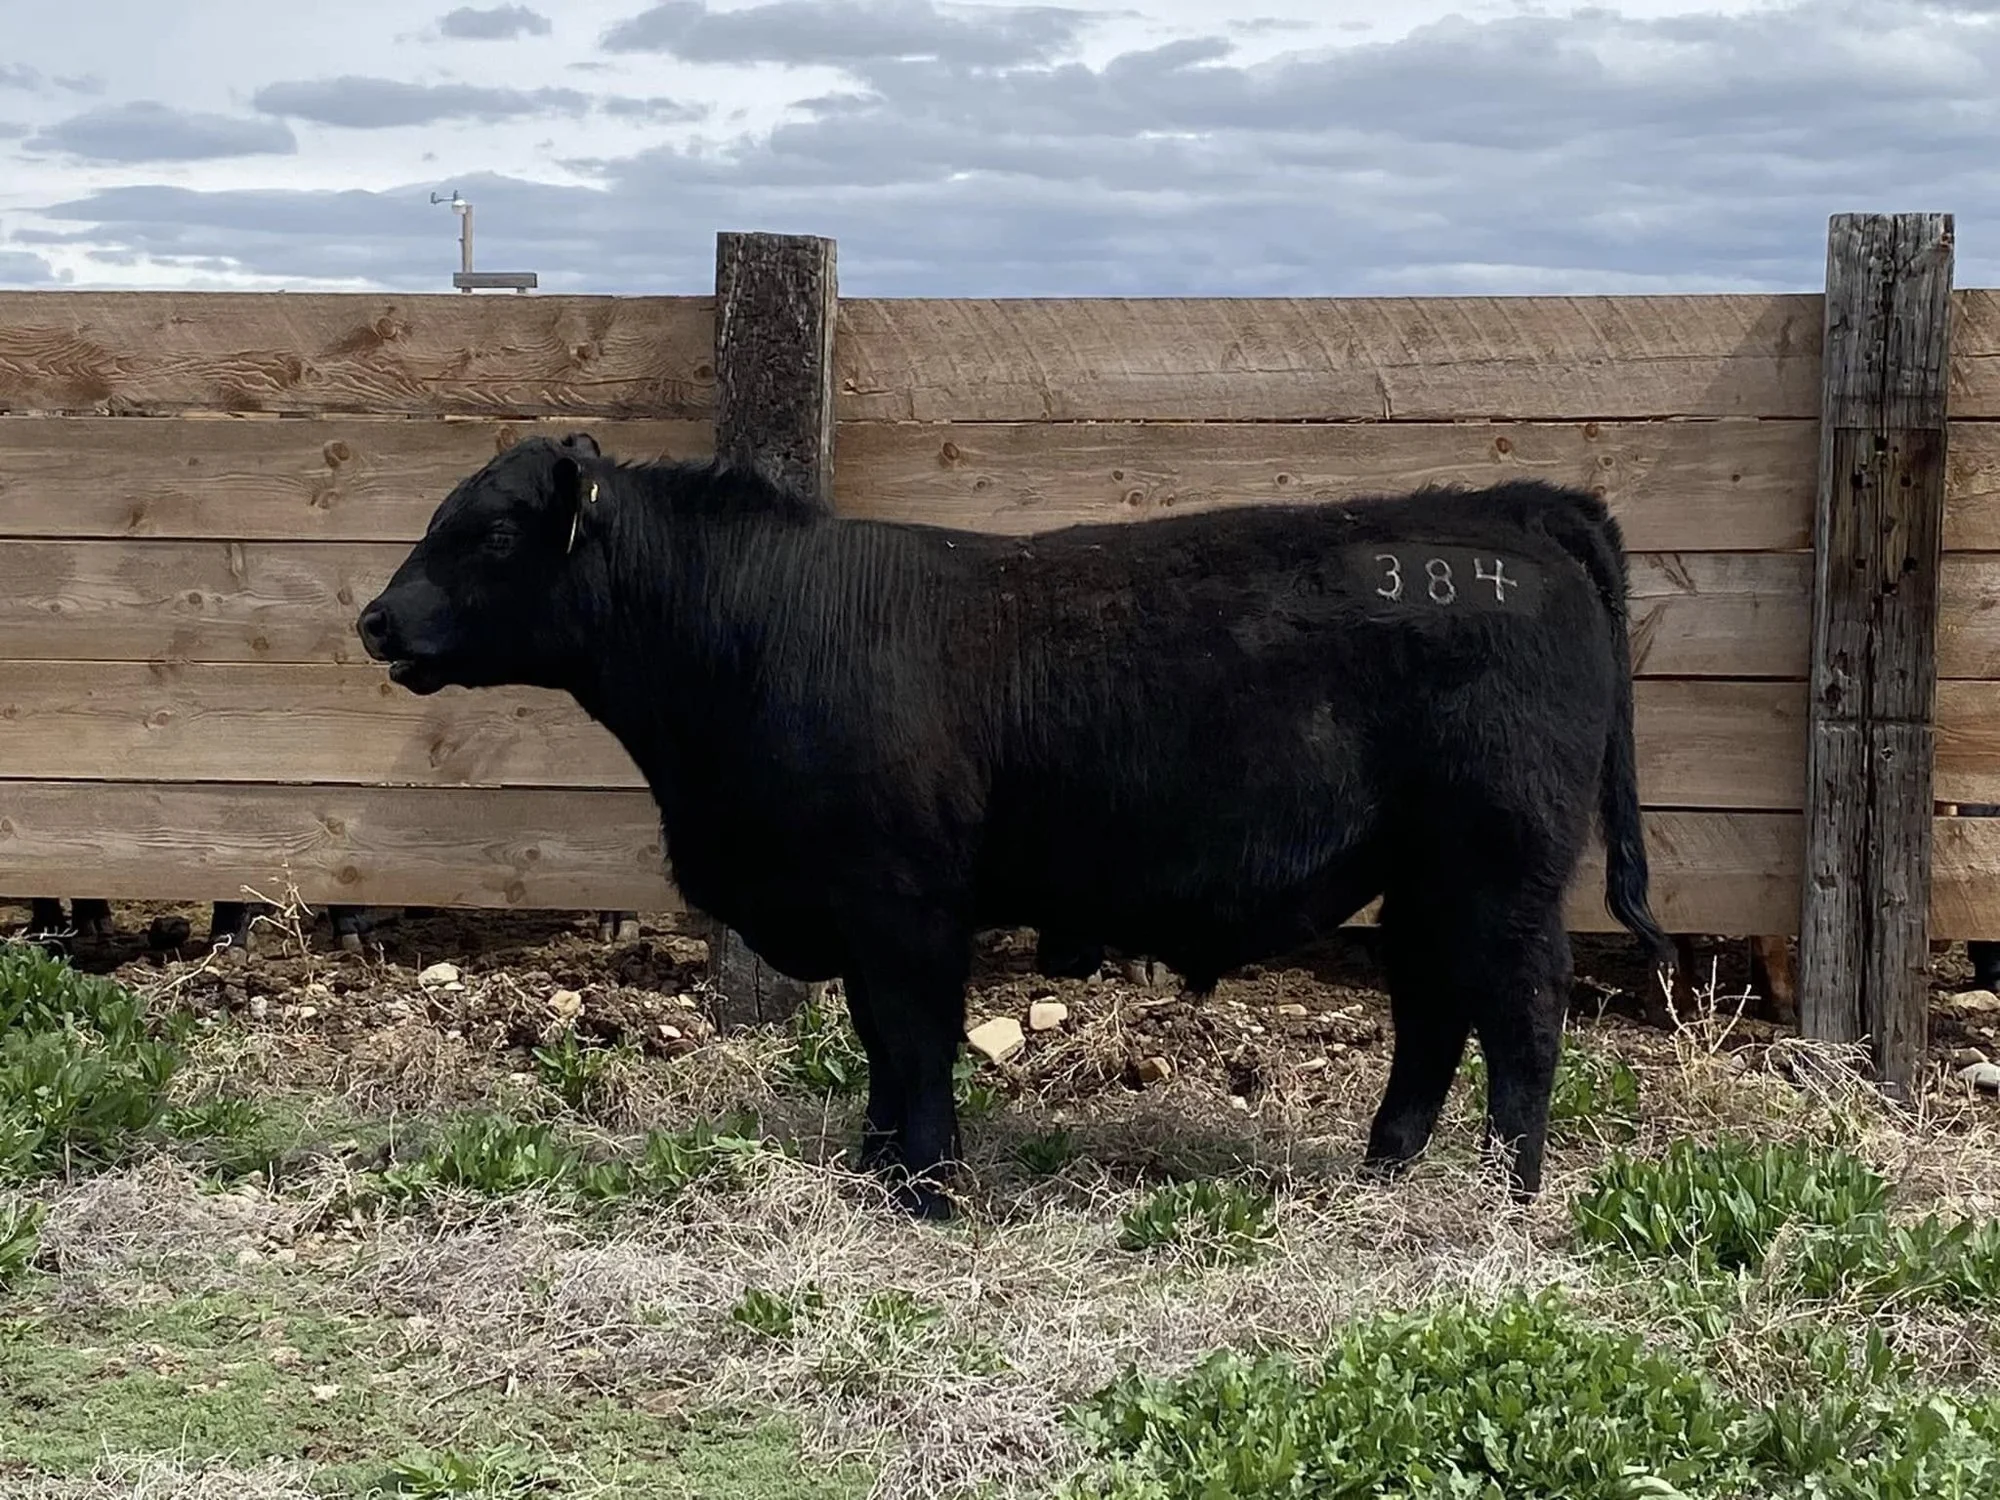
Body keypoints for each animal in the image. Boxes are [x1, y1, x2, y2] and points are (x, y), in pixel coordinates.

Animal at [354, 433, 1671, 1218]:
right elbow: (879, 1045)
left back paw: (1504, 1199)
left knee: (1519, 1016)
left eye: (489, 532)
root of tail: (1508, 513)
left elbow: (914, 1037)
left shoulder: (902, 899)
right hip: (1425, 875)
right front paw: (877, 1164)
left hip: (1501, 864)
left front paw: (928, 1187)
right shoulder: (858, 909)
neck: (755, 623)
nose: (374, 619)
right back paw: (1382, 1176)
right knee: (1431, 1011)